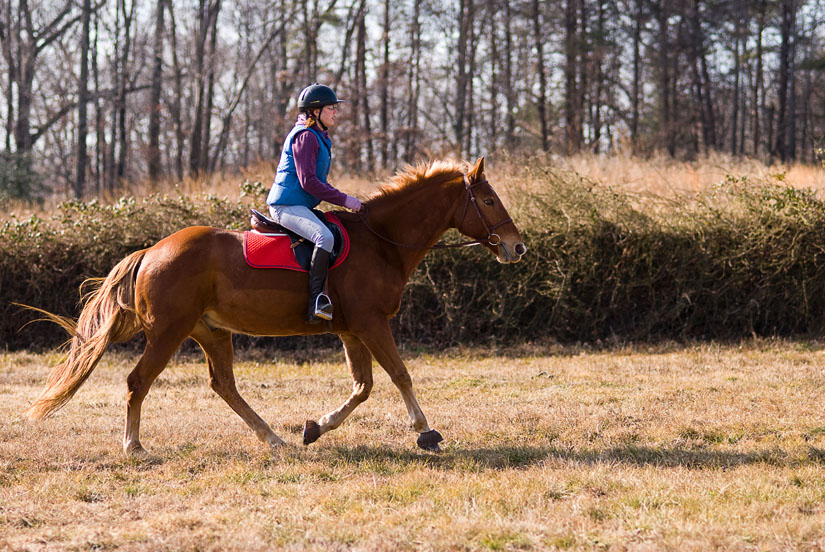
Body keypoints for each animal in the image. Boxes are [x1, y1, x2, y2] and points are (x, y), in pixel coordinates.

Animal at [29, 157, 524, 454]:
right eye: (489, 200)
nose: (516, 247)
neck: (382, 241)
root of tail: (151, 251)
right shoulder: (370, 323)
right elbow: (399, 375)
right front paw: (426, 432)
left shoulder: (351, 329)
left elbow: (362, 386)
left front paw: (315, 427)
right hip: (169, 332)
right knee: (139, 381)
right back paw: (133, 446)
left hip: (212, 332)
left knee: (224, 386)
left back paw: (272, 438)